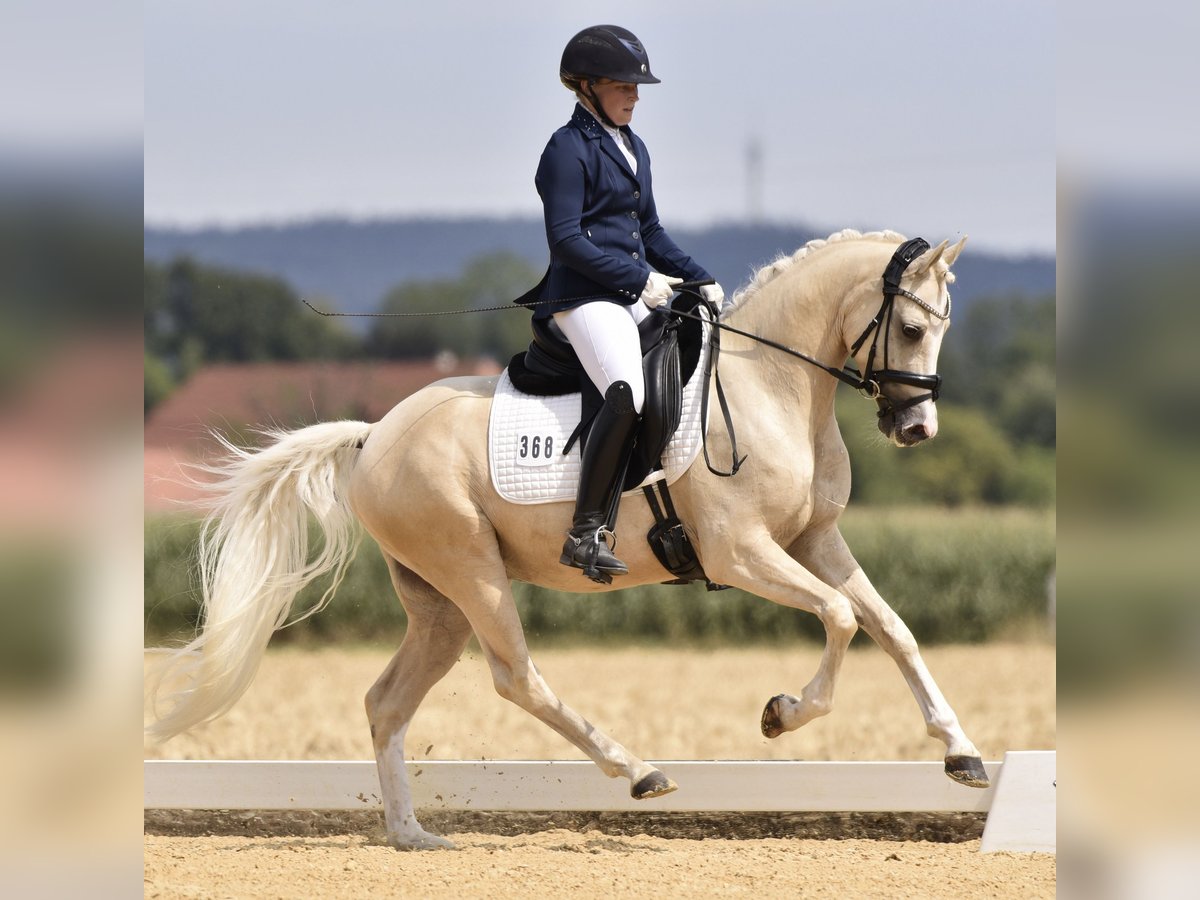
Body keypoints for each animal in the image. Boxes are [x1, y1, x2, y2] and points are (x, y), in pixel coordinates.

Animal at [142, 229, 984, 849]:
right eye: (911, 327)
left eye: (944, 328)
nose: (916, 428)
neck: (772, 388)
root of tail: (374, 432)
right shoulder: (741, 552)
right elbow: (842, 619)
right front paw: (782, 712)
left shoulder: (814, 543)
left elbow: (892, 628)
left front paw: (961, 753)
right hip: (471, 570)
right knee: (518, 678)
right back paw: (638, 770)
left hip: (438, 604)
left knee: (387, 702)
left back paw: (413, 835)